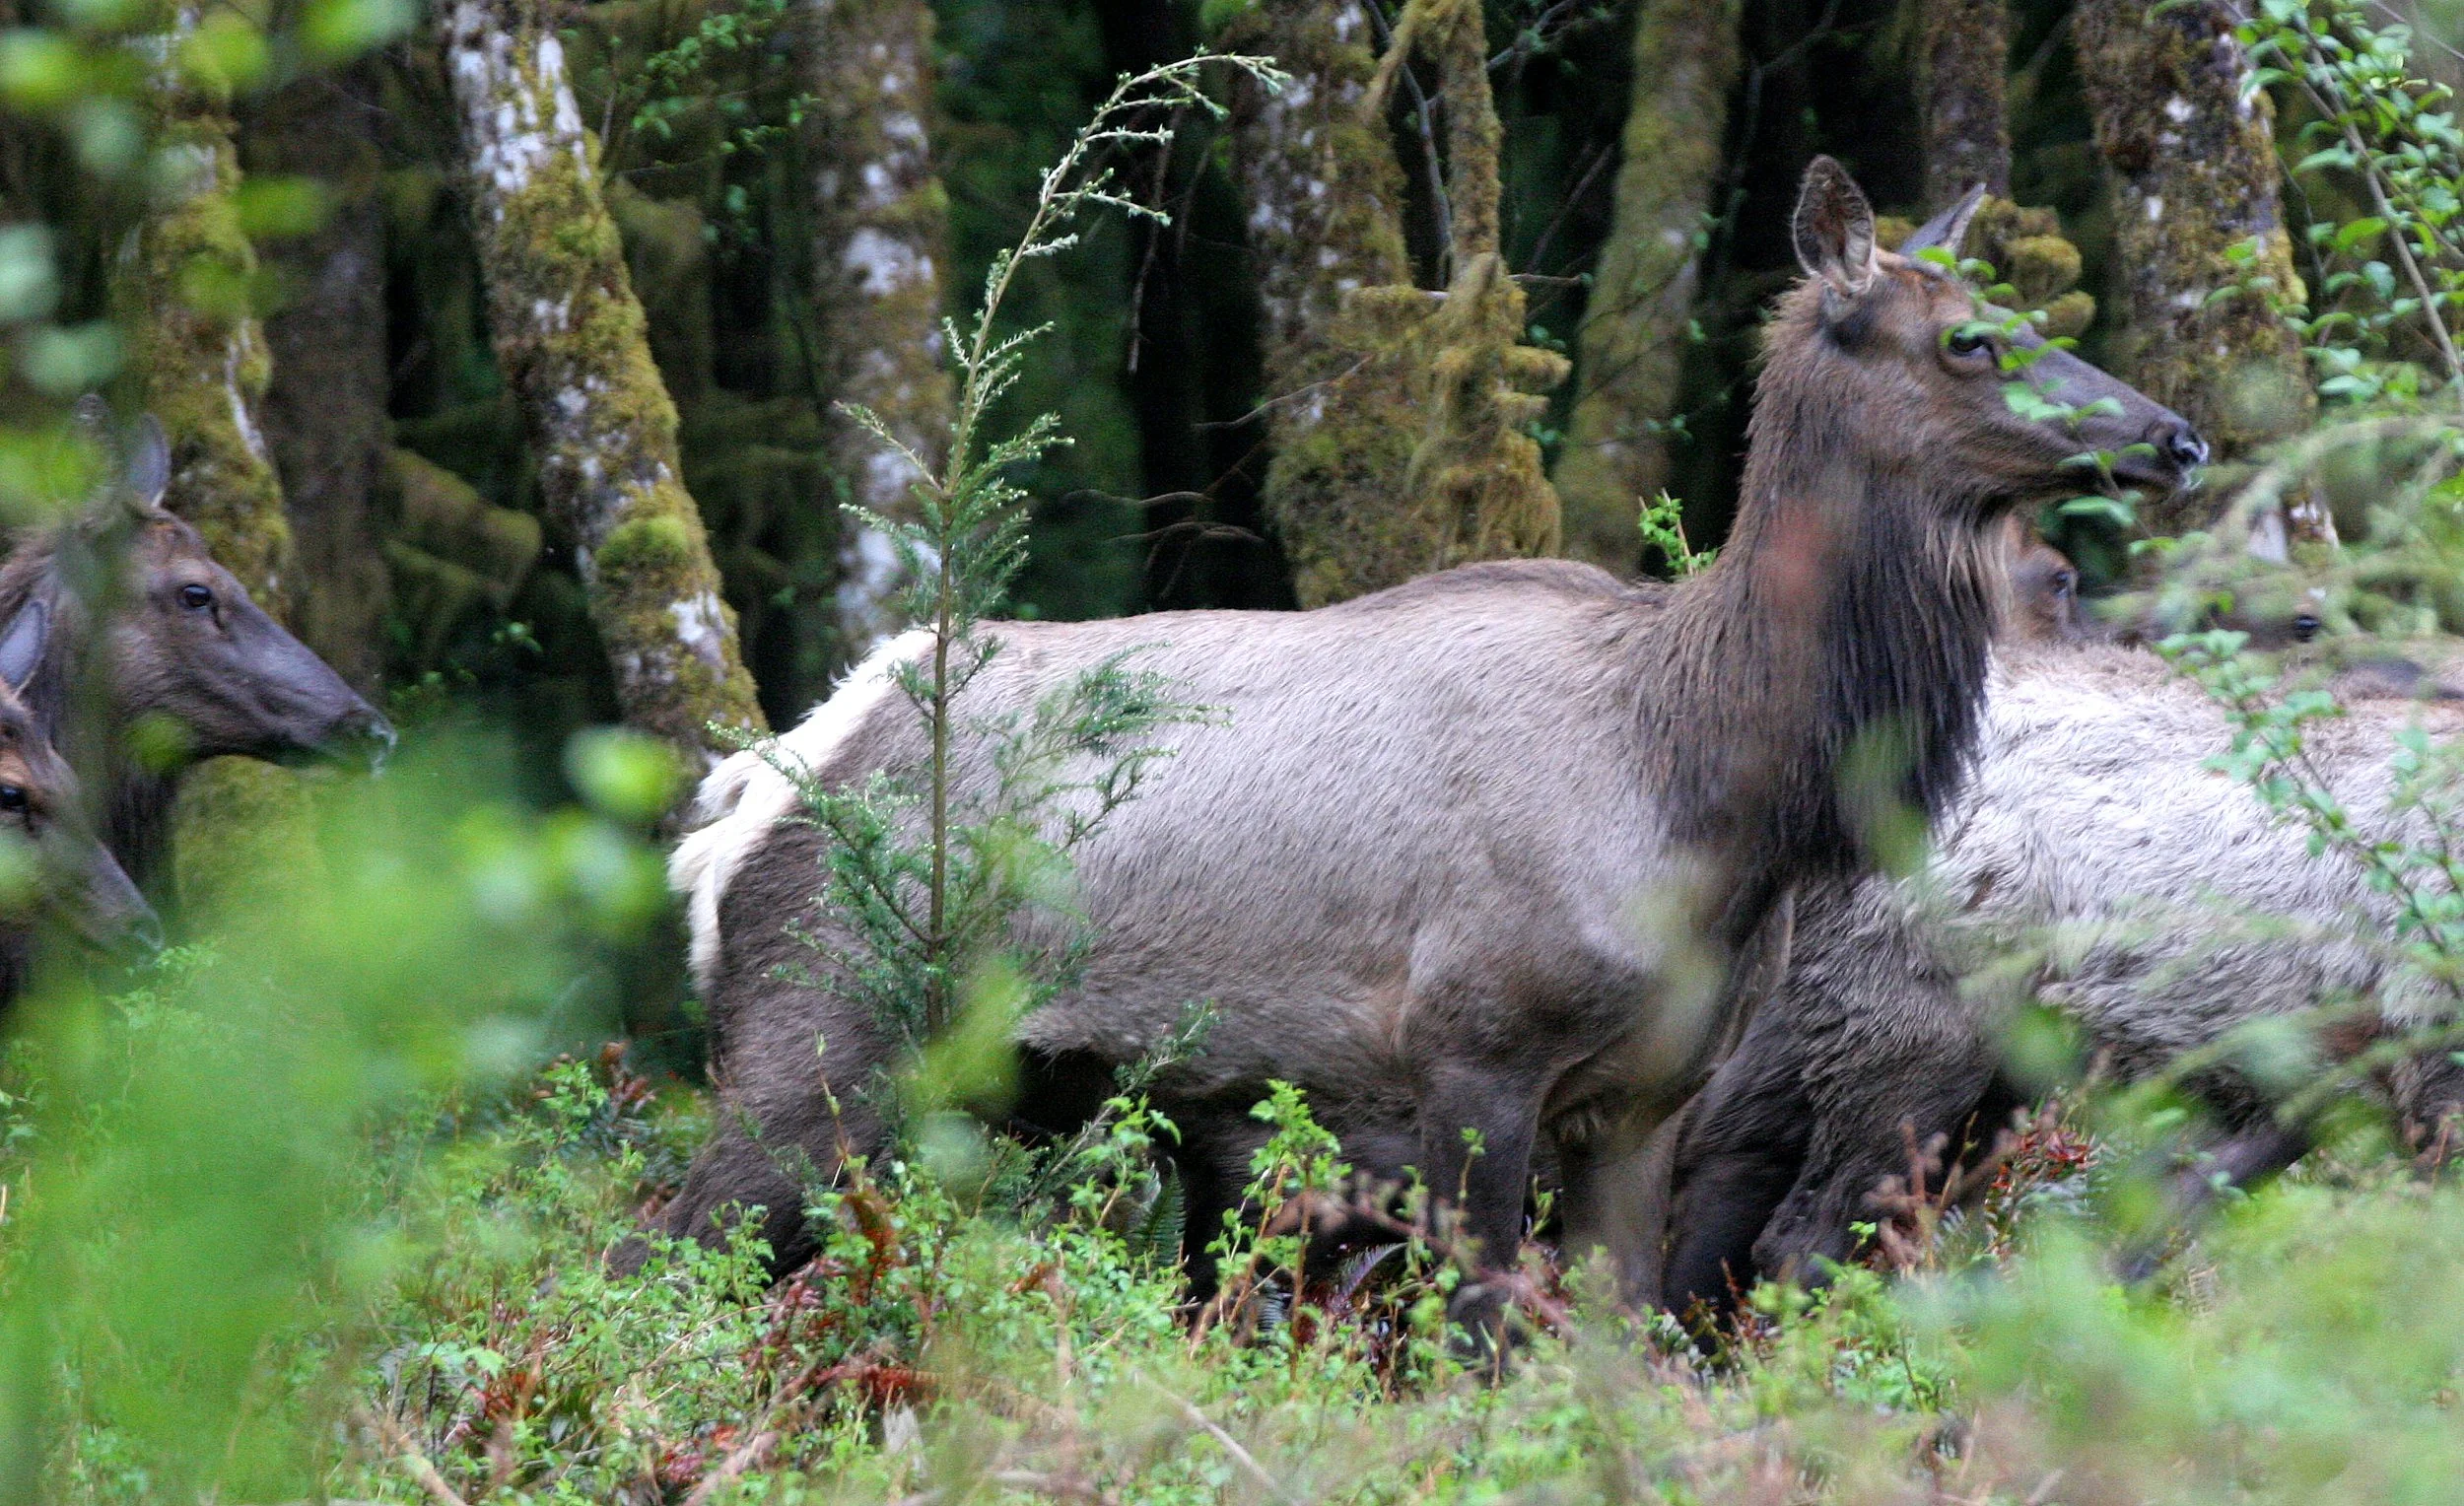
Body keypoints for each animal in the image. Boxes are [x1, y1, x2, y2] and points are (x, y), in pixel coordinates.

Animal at [654, 158, 2203, 1334]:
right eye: (1968, 340)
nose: (2177, 437)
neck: (1705, 791)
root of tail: (745, 800)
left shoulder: (1644, 1099)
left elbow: (1617, 1343)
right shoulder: (1472, 1049)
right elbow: (1479, 1345)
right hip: (818, 1031)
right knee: (655, 1257)